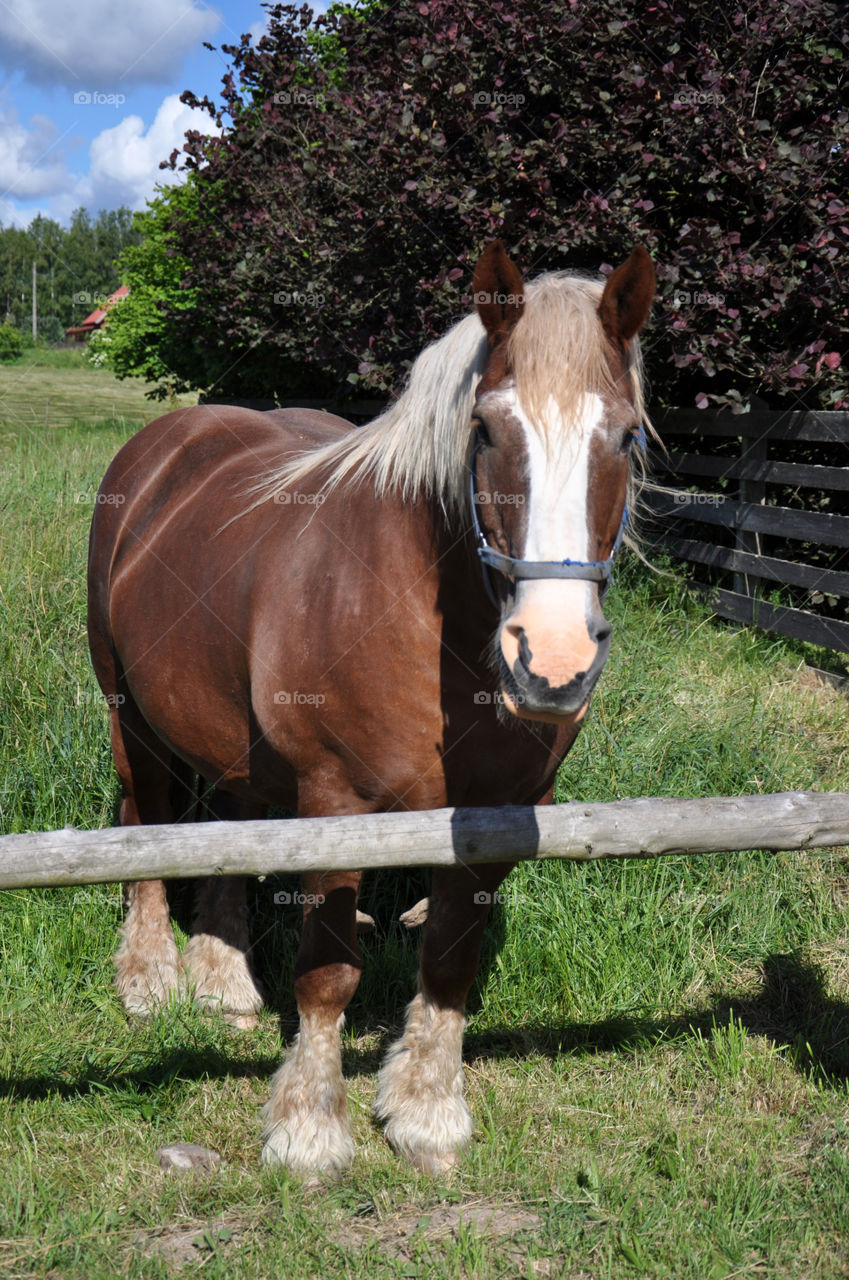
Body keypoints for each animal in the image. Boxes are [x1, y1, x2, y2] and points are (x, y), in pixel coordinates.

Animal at [87, 240, 655, 1172]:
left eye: (626, 434)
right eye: (485, 429)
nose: (551, 662)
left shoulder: (494, 816)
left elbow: (449, 963)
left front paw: (426, 1110)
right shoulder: (333, 803)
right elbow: (328, 975)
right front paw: (310, 1128)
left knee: (230, 825)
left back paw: (221, 976)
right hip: (127, 709)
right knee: (147, 820)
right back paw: (150, 978)